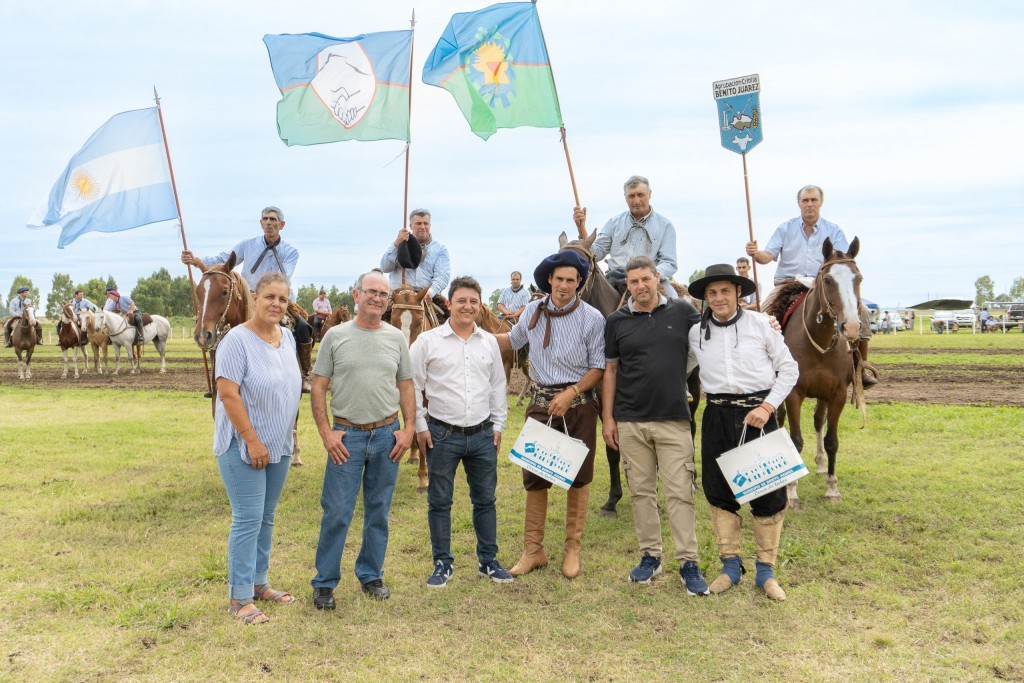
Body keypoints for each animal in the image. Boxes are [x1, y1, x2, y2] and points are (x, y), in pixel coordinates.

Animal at [770, 236, 868, 507]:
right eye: (828, 280)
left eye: (858, 278)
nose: (851, 327)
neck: (818, 343)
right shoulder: (793, 393)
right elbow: (795, 440)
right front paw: (791, 492)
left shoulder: (838, 394)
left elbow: (831, 441)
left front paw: (832, 487)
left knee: (818, 421)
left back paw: (822, 464)